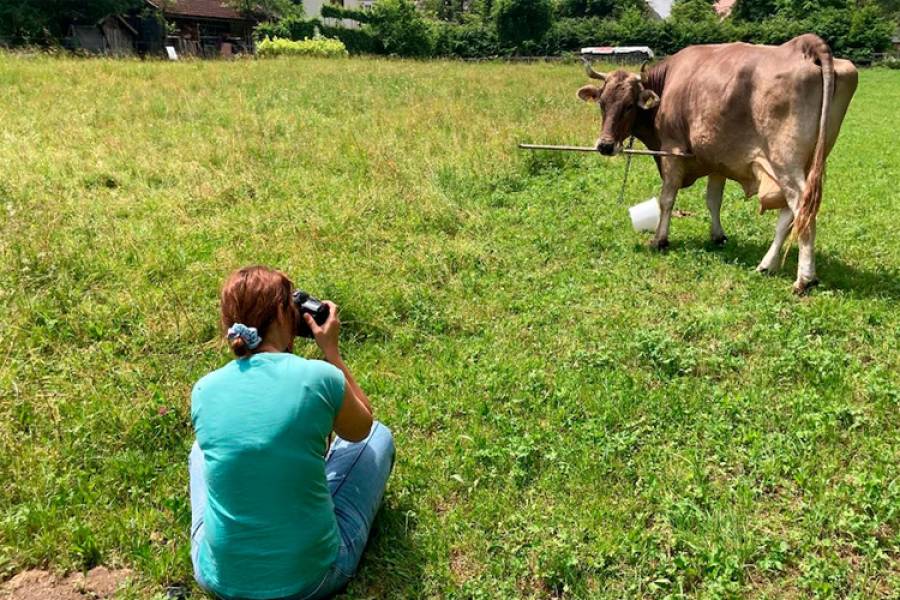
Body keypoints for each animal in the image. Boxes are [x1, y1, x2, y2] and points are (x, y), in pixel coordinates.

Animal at [576, 34, 858, 294]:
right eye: (602, 103)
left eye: (628, 106)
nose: (605, 145)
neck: (668, 86)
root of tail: (804, 44)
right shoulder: (717, 160)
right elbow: (713, 200)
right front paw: (718, 235)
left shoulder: (672, 153)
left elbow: (667, 199)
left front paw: (660, 240)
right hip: (808, 161)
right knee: (789, 214)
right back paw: (766, 265)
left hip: (785, 162)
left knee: (801, 210)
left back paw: (804, 278)